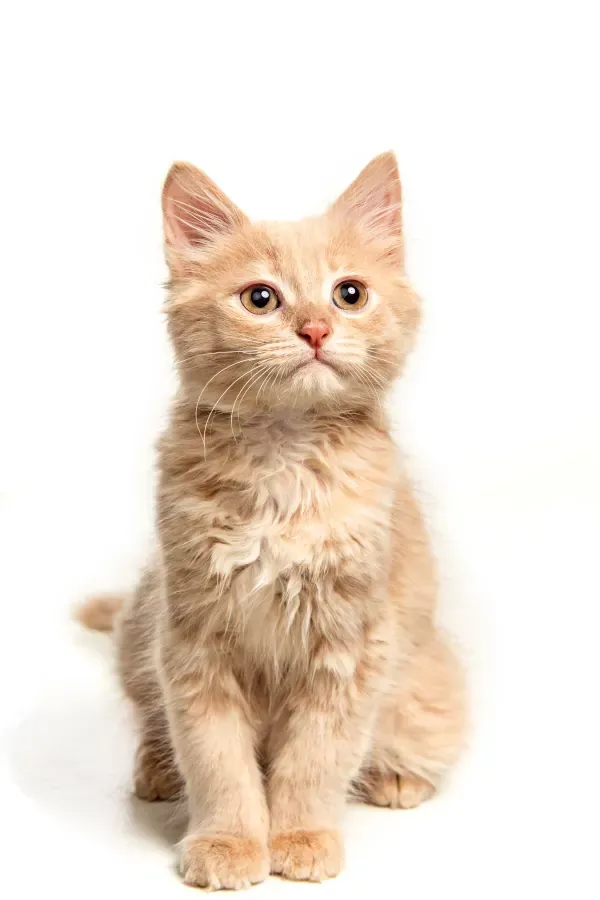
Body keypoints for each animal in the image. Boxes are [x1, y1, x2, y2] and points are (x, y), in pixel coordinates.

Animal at [78, 151, 464, 888]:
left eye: (349, 294)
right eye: (260, 299)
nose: (315, 330)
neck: (284, 461)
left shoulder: (350, 647)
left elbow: (316, 758)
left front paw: (302, 836)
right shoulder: (191, 639)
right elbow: (216, 760)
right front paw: (228, 841)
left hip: (430, 681)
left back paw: (396, 777)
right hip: (141, 623)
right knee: (152, 722)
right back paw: (155, 772)